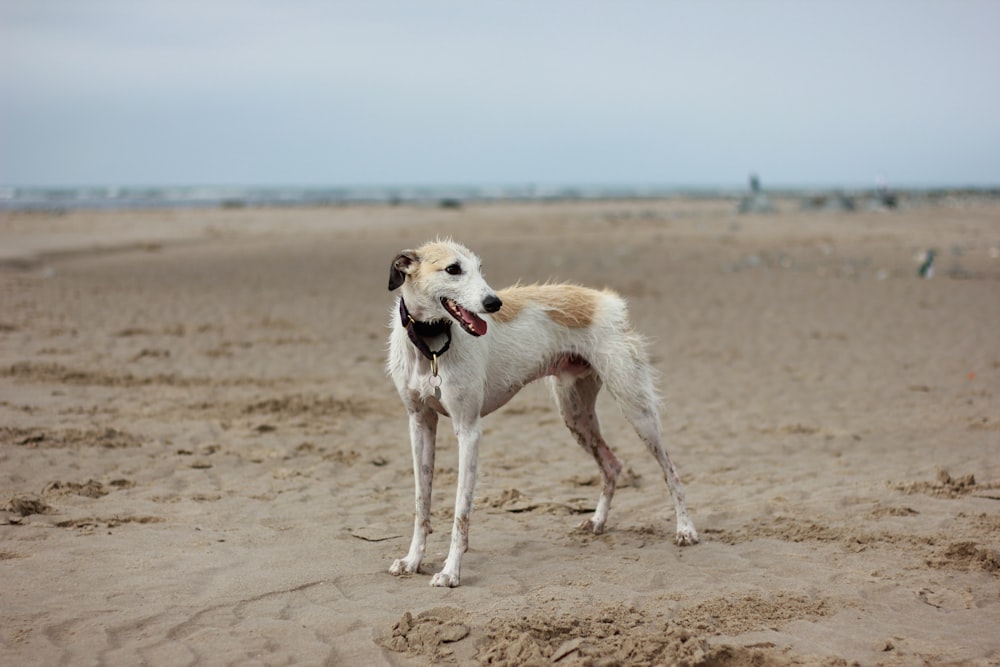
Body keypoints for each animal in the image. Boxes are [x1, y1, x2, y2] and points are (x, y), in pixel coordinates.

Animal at [386, 243, 700, 588]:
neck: (431, 345)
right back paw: (596, 522)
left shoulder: (468, 430)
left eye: (480, 268)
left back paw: (685, 529)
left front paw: (451, 571)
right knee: (613, 465)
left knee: (670, 470)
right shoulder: (420, 424)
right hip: (576, 415)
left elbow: (461, 511)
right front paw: (412, 560)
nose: (494, 303)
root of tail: (607, 300)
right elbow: (421, 502)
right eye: (453, 269)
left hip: (636, 407)